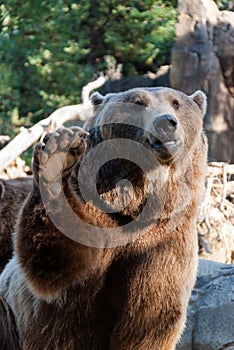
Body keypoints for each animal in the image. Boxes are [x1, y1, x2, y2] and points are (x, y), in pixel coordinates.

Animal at [0, 87, 207, 350]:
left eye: (176, 102)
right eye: (138, 102)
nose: (165, 123)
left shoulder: (163, 243)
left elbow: (149, 316)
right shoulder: (95, 216)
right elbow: (56, 264)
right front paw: (57, 154)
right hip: (7, 316)